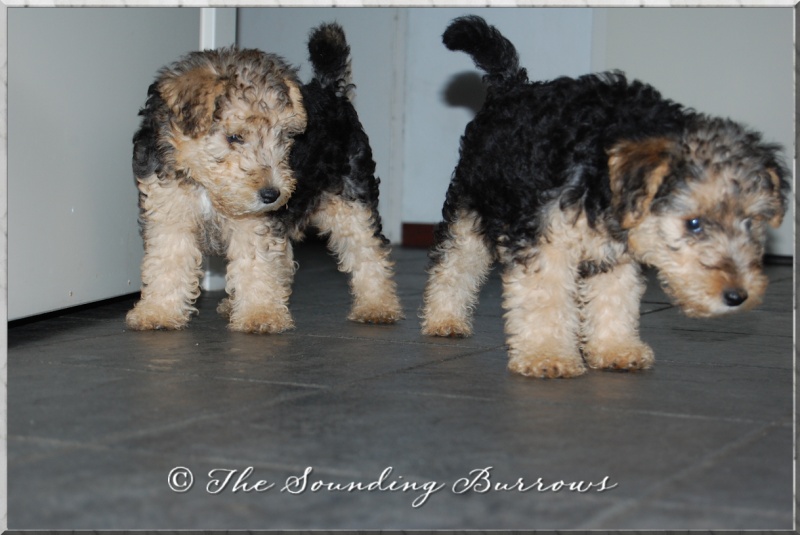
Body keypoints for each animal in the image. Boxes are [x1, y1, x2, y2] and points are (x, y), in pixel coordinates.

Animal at [127, 23, 401, 333]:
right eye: (234, 137)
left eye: (283, 136)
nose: (273, 194)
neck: (206, 184)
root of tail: (331, 90)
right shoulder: (169, 213)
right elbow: (167, 263)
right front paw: (158, 311)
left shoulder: (254, 223)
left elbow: (255, 264)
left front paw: (260, 315)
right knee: (288, 258)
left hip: (351, 200)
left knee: (369, 252)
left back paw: (378, 306)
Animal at [421, 16, 789, 378]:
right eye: (694, 223)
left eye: (750, 223)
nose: (737, 296)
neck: (605, 169)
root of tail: (509, 87)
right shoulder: (545, 241)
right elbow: (546, 298)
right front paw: (547, 355)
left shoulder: (615, 252)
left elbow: (615, 297)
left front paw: (616, 349)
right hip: (470, 206)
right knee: (455, 264)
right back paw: (444, 319)